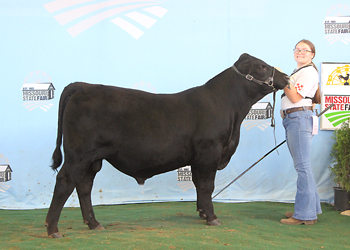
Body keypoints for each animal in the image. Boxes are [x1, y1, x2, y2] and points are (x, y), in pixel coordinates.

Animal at [45, 53, 288, 237]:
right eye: (262, 66)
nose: (286, 77)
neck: (230, 109)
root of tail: (83, 86)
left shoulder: (197, 158)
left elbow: (198, 185)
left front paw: (202, 212)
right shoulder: (209, 152)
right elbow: (207, 185)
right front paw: (212, 217)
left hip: (92, 158)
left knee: (84, 186)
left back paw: (94, 223)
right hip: (78, 154)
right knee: (65, 182)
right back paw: (52, 228)